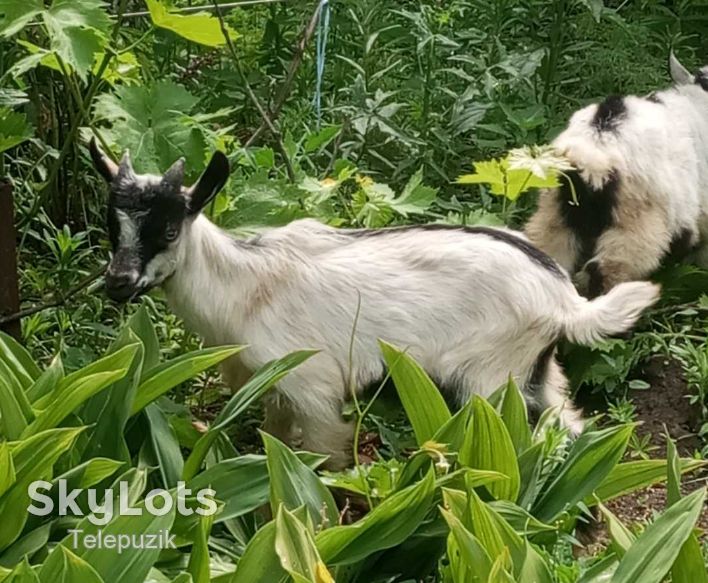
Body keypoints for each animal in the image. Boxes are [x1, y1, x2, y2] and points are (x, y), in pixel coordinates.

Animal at [90, 139, 659, 468]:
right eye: (111, 226)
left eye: (168, 229)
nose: (118, 282)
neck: (245, 287)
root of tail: (565, 299)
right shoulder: (272, 388)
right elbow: (274, 439)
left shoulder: (314, 388)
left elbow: (323, 460)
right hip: (536, 372)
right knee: (568, 425)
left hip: (492, 377)